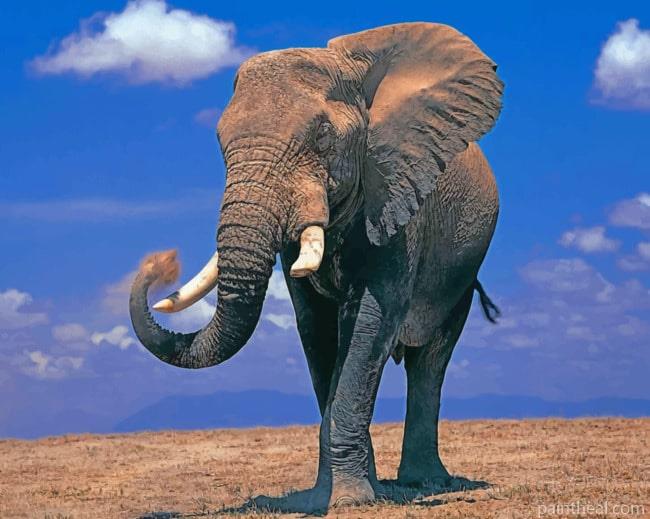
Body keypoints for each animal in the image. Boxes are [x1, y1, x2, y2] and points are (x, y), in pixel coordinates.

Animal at [129, 22, 503, 509]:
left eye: (324, 137)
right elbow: (317, 330)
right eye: (219, 140)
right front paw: (331, 496)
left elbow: (368, 321)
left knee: (430, 359)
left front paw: (351, 501)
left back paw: (426, 483)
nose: (160, 263)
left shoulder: (396, 196)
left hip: (462, 267)